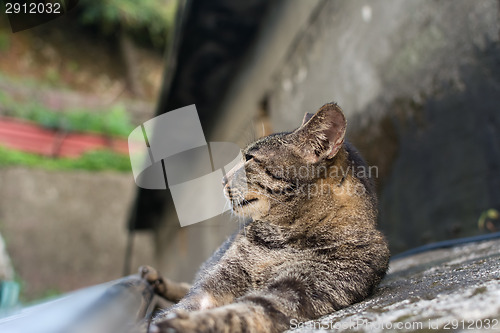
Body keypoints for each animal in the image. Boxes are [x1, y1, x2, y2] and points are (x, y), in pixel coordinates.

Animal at [143, 102, 388, 330]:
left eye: (250, 158)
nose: (222, 180)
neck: (282, 237)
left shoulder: (295, 291)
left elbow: (239, 313)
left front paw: (183, 324)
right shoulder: (218, 280)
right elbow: (189, 302)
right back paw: (154, 278)